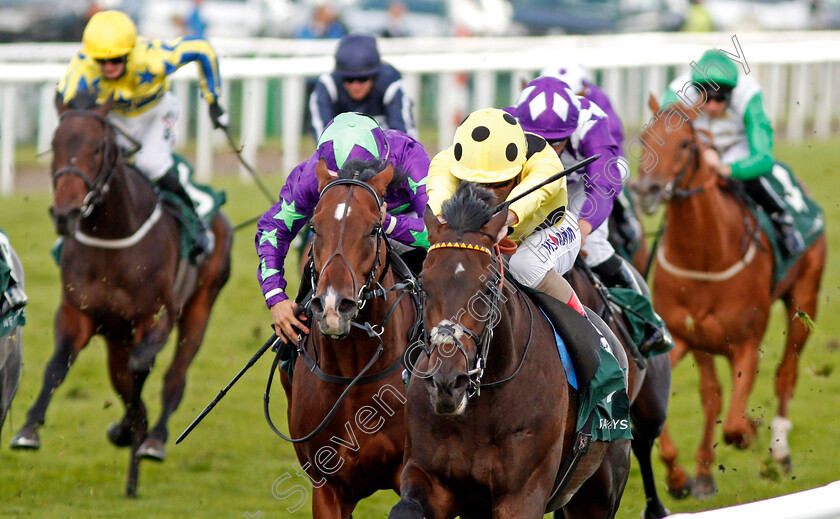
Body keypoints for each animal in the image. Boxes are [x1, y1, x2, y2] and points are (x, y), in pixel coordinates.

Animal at [10, 94, 233, 500]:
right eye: (55, 143)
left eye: (98, 148)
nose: (65, 213)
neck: (112, 238)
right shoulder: (77, 312)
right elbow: (58, 365)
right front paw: (29, 430)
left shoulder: (156, 316)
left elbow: (142, 368)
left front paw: (131, 429)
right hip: (116, 338)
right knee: (125, 379)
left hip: (200, 306)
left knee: (174, 377)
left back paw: (153, 439)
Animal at [394, 184, 632, 519]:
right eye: (424, 286)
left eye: (488, 288)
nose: (447, 383)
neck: (479, 412)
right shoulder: (429, 477)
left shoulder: (522, 493)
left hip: (599, 491)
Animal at [632, 96, 824, 500]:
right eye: (643, 138)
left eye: (685, 144)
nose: (647, 190)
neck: (705, 255)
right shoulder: (683, 338)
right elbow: (698, 401)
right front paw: (681, 477)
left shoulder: (747, 344)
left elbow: (735, 425)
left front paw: (751, 430)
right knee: (713, 396)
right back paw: (705, 474)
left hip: (804, 299)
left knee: (786, 374)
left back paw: (780, 452)